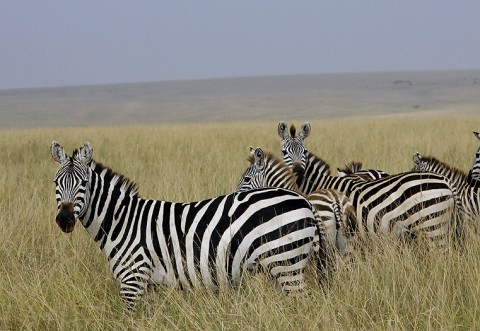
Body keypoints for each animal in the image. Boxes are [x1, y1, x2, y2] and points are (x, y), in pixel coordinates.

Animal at [50, 141, 318, 312]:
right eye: (55, 182)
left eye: (83, 183)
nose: (64, 219)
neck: (121, 222)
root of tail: (302, 199)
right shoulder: (149, 285)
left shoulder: (132, 280)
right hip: (277, 267)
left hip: (287, 263)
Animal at [276, 122, 456, 246]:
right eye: (284, 152)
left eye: (305, 151)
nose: (298, 171)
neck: (321, 183)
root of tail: (444, 181)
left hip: (431, 226)